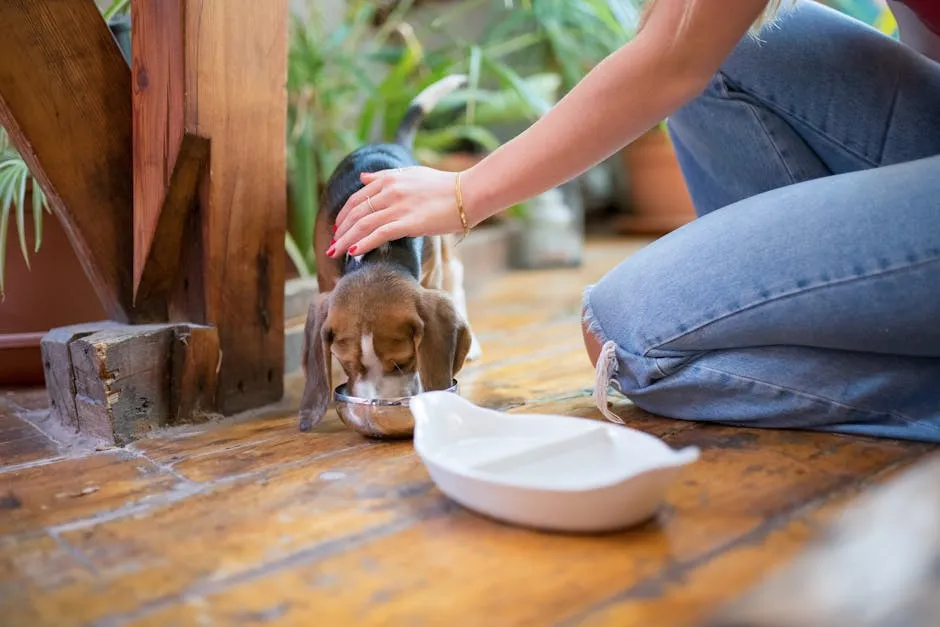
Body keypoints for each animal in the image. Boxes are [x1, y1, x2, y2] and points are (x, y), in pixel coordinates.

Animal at [298, 75, 482, 432]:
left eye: (404, 361)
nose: (379, 405)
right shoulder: (326, 277)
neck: (379, 252)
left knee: (456, 277)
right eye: (346, 364)